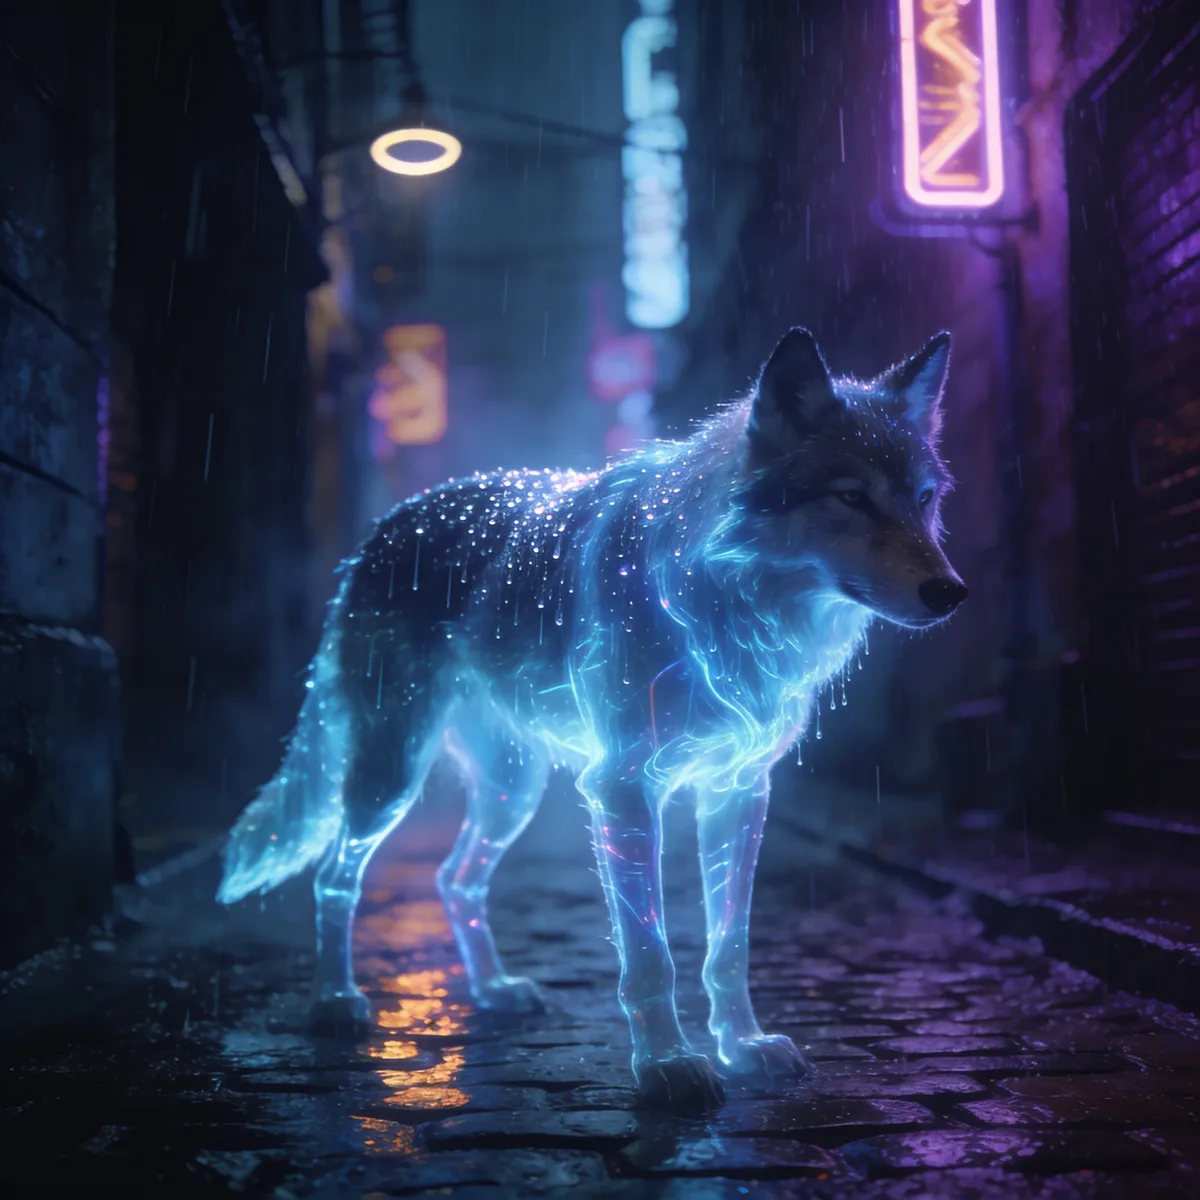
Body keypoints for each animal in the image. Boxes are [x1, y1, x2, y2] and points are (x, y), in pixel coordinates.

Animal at [217, 327, 966, 1112]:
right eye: (853, 497)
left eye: (923, 500)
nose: (951, 592)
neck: (728, 603)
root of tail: (386, 528)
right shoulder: (624, 788)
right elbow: (651, 955)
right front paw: (668, 1066)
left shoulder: (738, 790)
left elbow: (728, 949)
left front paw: (742, 1048)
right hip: (391, 776)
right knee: (335, 874)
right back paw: (335, 1003)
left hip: (513, 793)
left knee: (454, 878)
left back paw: (492, 989)